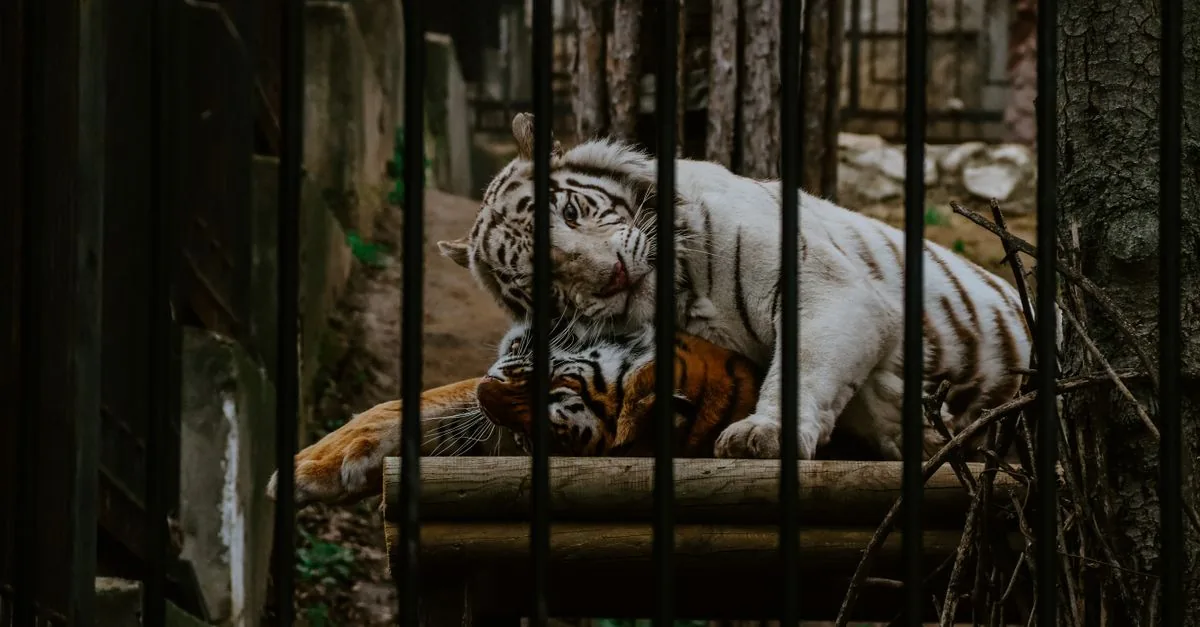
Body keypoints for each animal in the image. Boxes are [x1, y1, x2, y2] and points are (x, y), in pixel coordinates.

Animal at [436, 112, 1051, 462]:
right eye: (537, 280)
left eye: (570, 211)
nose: (613, 276)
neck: (682, 295)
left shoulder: (827, 287)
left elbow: (803, 365)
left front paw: (764, 433)